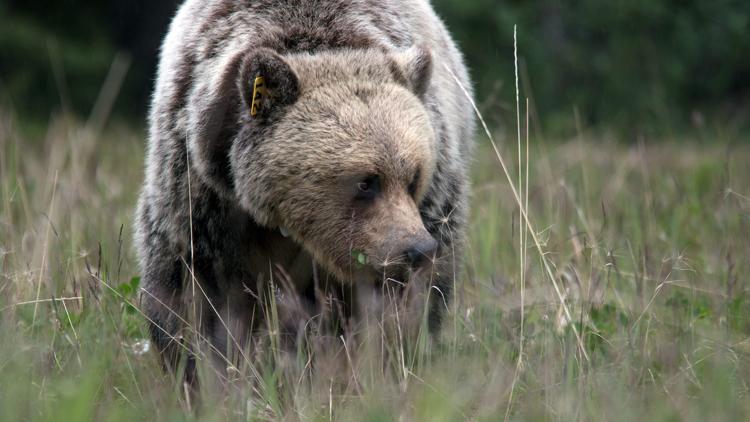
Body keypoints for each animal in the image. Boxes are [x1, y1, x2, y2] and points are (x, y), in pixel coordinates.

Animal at [135, 0, 476, 376]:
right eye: (366, 182)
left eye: (413, 177)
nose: (416, 249)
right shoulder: (204, 193)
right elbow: (198, 294)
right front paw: (204, 368)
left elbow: (399, 305)